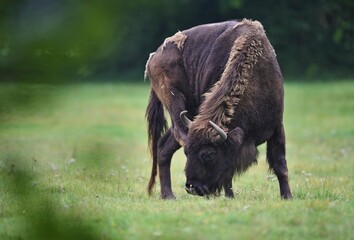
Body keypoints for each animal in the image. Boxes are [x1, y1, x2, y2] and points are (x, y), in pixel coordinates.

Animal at [144, 18, 294, 199]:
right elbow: (228, 173)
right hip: (175, 102)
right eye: (187, 153)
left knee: (163, 146)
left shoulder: (277, 126)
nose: (192, 187)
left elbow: (280, 164)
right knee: (175, 136)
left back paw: (168, 196)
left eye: (209, 155)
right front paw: (230, 196)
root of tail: (153, 57)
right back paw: (168, 196)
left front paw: (287, 196)